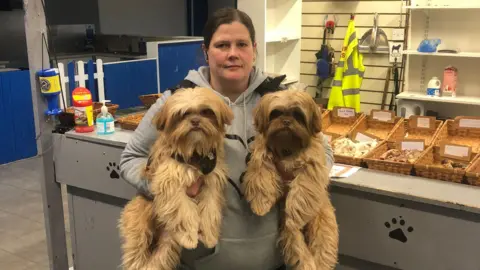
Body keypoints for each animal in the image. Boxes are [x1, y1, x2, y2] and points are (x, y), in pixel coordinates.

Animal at [119, 87, 233, 268]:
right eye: (182, 114)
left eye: (206, 111)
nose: (195, 121)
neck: (194, 152)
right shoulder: (170, 182)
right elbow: (183, 211)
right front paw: (189, 237)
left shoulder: (211, 183)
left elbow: (210, 210)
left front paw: (209, 235)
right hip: (138, 228)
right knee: (136, 254)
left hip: (167, 244)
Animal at [244, 89, 338, 270]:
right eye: (276, 113)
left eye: (298, 115)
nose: (286, 121)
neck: (287, 146)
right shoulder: (262, 155)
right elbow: (261, 176)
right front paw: (260, 202)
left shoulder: (311, 166)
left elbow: (303, 188)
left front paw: (296, 214)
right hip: (289, 233)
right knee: (296, 244)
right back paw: (307, 264)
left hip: (323, 223)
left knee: (323, 247)